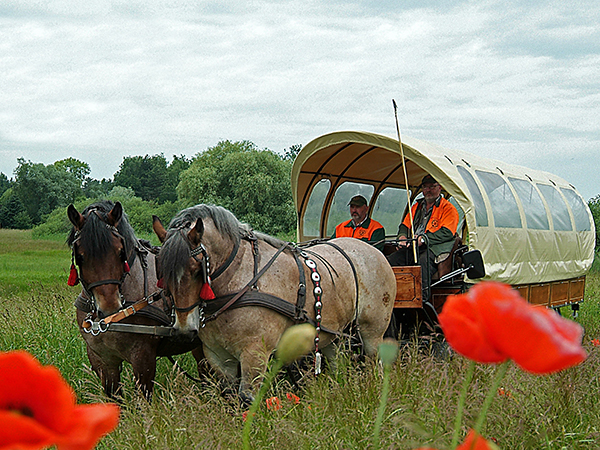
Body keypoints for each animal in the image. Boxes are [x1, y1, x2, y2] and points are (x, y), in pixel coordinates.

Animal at [152, 206, 396, 402]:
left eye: (196, 270)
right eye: (162, 272)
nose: (184, 330)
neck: (240, 280)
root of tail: (373, 250)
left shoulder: (255, 354)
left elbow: (247, 400)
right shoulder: (217, 356)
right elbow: (230, 399)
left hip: (372, 332)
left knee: (374, 363)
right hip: (332, 334)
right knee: (338, 366)